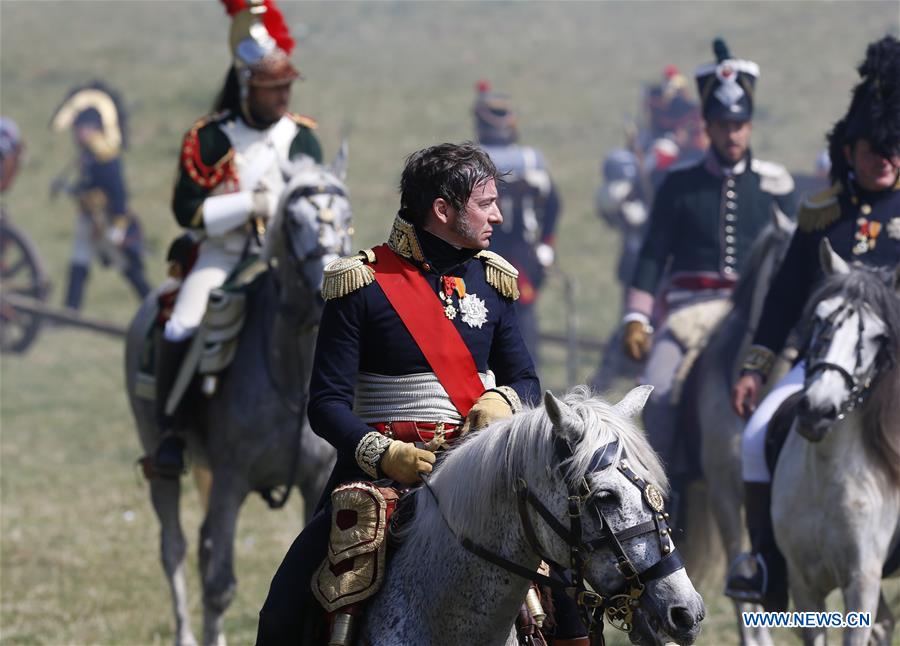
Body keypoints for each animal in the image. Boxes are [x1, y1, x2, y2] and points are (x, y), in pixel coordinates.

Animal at [125, 154, 350, 644]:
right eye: (293, 221)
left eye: (346, 218)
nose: (328, 290)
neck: (294, 379)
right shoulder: (231, 480)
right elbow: (220, 586)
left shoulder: (315, 484)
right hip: (159, 459)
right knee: (174, 547)